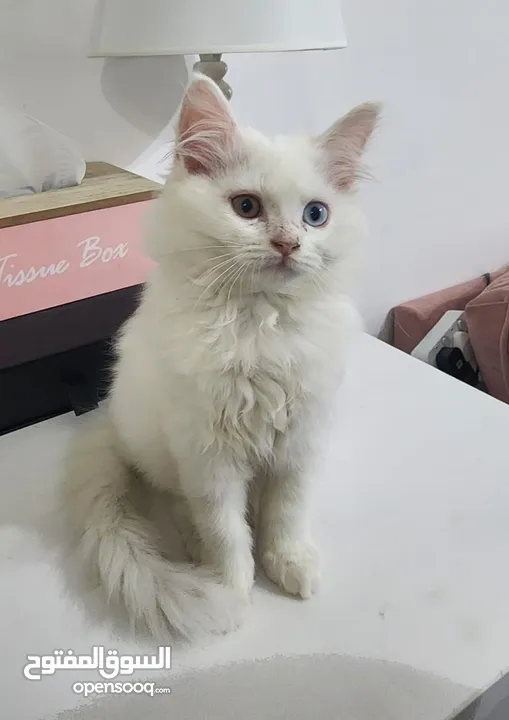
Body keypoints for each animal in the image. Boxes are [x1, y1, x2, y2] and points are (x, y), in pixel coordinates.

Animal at [61, 76, 380, 640]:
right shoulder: (208, 457)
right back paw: (192, 545)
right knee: (175, 500)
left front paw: (289, 562)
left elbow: (286, 515)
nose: (288, 243)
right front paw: (231, 594)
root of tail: (109, 424)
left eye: (315, 215)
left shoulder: (302, 441)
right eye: (247, 207)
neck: (262, 326)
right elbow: (227, 533)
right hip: (161, 449)